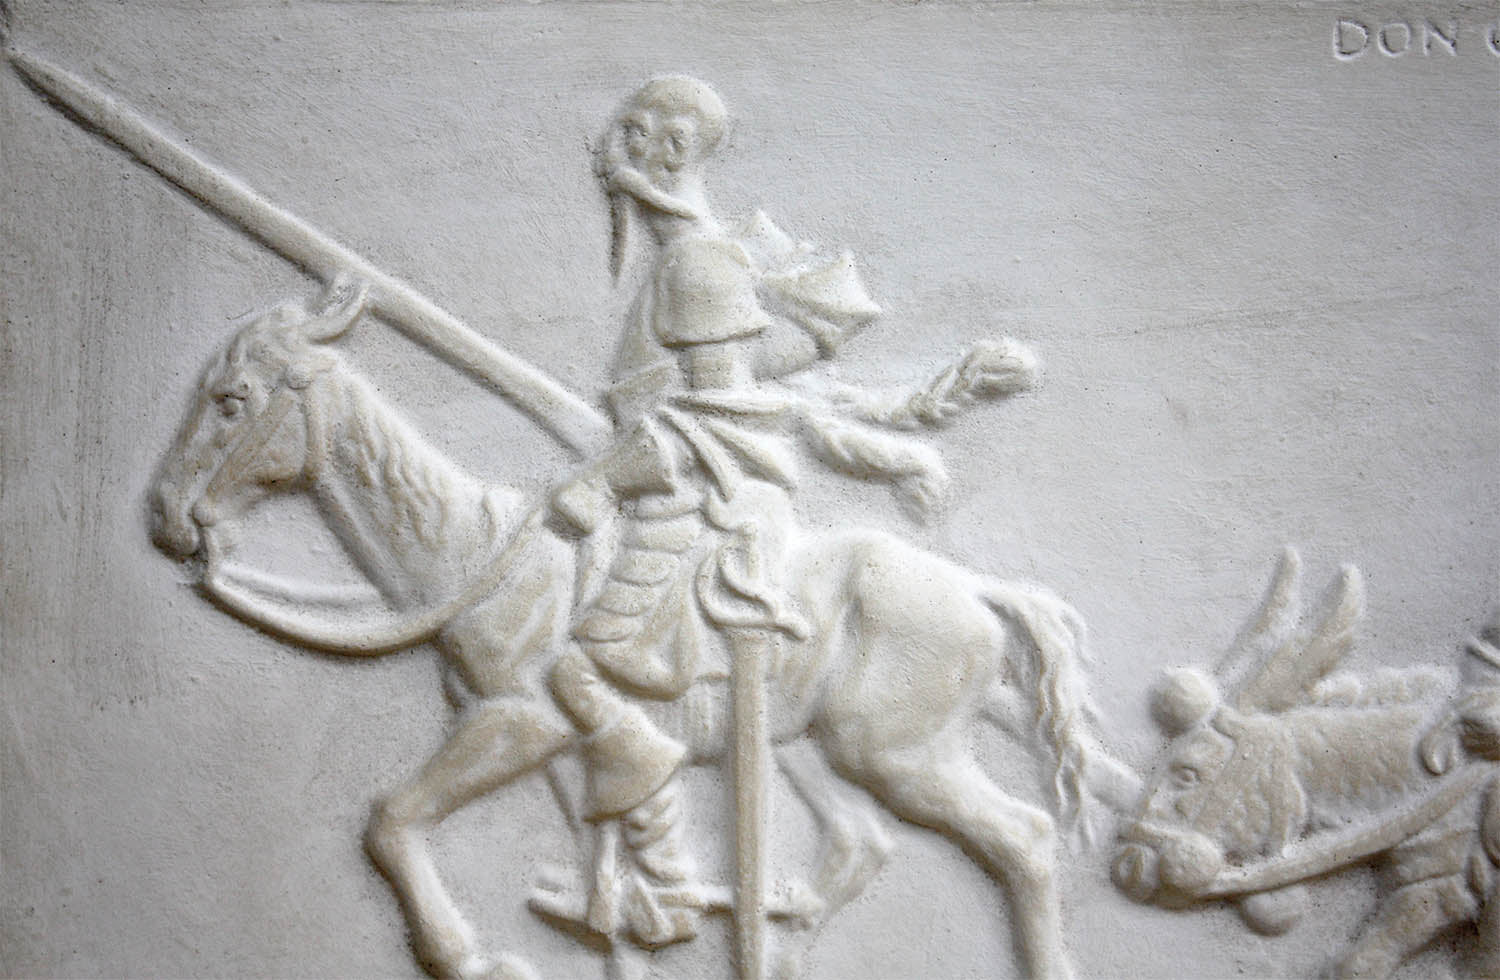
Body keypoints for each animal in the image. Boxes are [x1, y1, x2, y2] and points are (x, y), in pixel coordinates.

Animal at [152, 282, 1134, 978]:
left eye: (232, 400)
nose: (166, 518)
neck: (479, 555)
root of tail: (979, 590)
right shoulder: (539, 739)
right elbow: (602, 824)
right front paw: (620, 916)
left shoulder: (520, 720)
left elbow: (391, 818)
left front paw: (470, 956)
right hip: (809, 749)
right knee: (861, 847)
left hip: (899, 755)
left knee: (1024, 840)